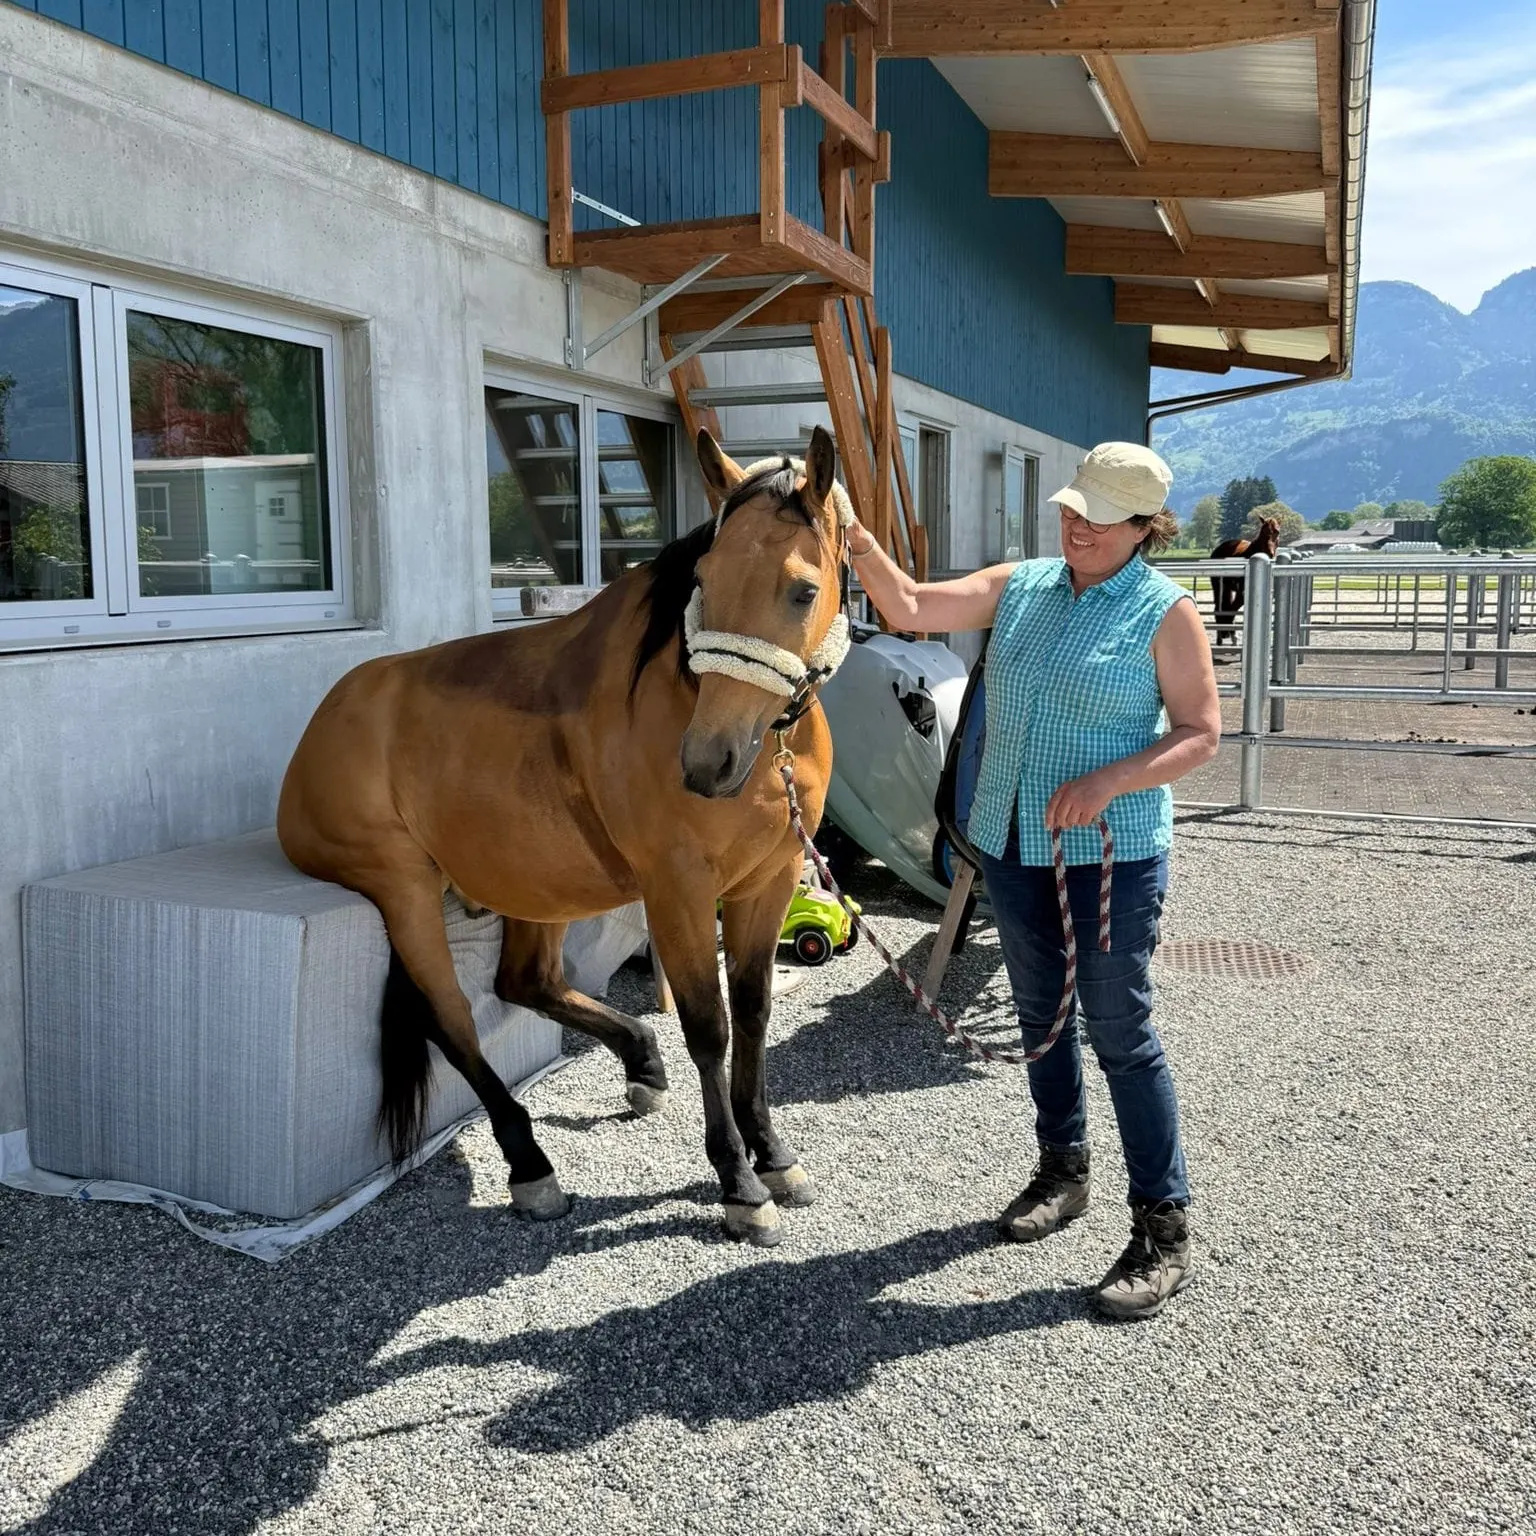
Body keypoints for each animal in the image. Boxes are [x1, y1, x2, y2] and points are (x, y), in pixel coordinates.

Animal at [276, 427, 853, 1248]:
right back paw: (529, 1164)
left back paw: (640, 1064)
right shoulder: (679, 891)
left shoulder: (767, 882)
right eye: (703, 578)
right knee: (455, 1022)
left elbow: (754, 1014)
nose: (707, 762)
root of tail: (321, 725)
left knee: (525, 983)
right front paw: (740, 1184)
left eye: (803, 590)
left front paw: (773, 1155)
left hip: (534, 885)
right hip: (404, 889)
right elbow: (709, 1028)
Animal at [1209, 515, 1281, 657]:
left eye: (1277, 531)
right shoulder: (1242, 593)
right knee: (1219, 608)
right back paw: (1222, 636)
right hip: (1218, 587)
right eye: (1263, 531)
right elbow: (1231, 610)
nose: (1270, 553)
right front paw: (1229, 635)